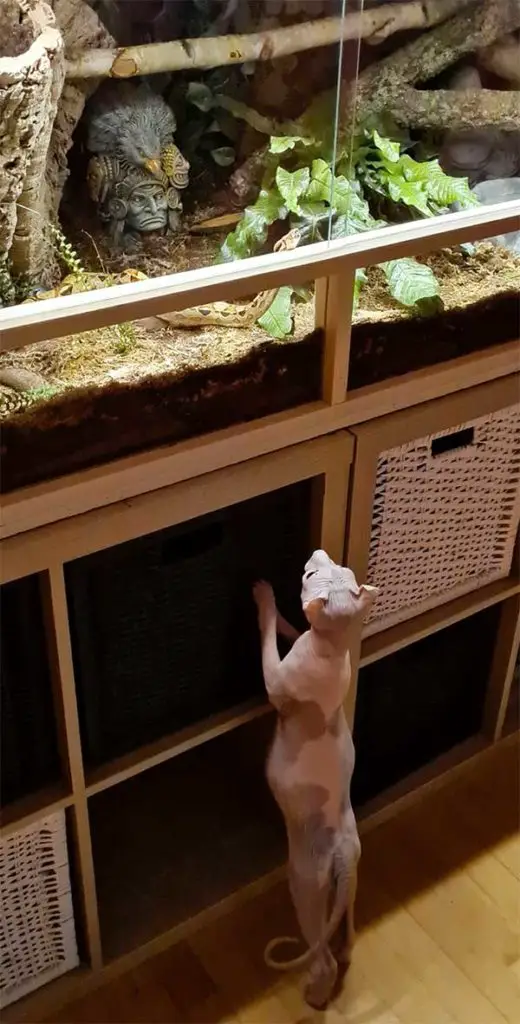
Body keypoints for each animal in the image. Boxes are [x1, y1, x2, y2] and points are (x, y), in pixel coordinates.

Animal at [251, 552, 378, 1007]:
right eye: (330, 565)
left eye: (309, 574)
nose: (316, 553)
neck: (334, 645)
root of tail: (341, 853)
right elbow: (292, 629)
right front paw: (288, 619)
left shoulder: (276, 679)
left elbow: (269, 644)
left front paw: (265, 600)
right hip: (350, 880)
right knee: (347, 934)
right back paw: (343, 949)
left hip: (304, 885)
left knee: (321, 955)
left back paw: (314, 991)